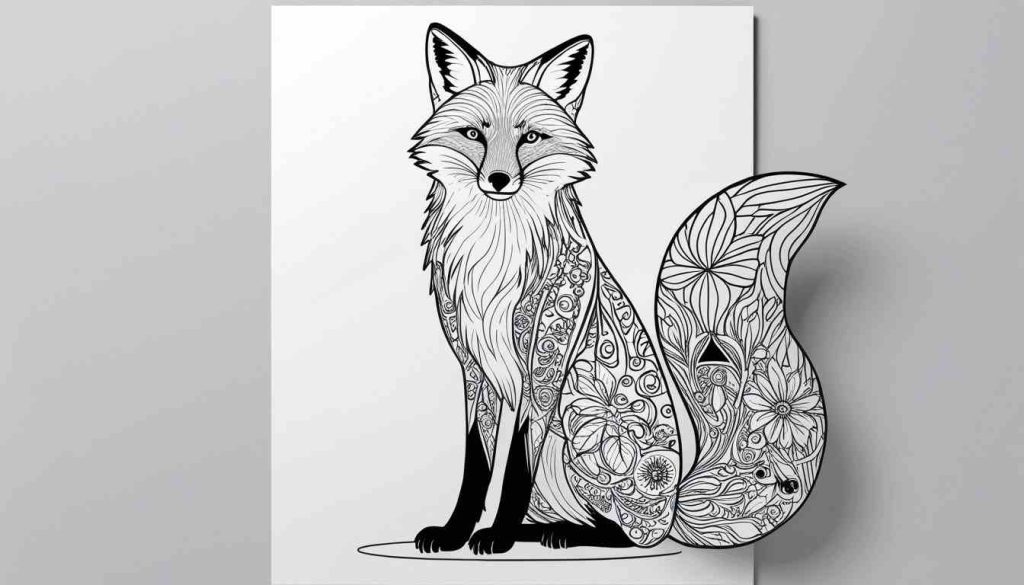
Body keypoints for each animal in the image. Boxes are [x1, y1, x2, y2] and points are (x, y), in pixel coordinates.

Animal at [410, 23, 841, 554]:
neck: (497, 249)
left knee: (629, 536)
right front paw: (455, 532)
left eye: (530, 137)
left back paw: (561, 535)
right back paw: (540, 531)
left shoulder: (545, 368)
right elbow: (477, 464)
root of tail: (675, 504)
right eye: (474, 134)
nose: (499, 179)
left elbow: (513, 469)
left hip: (579, 426)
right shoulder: (473, 368)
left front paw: (498, 536)